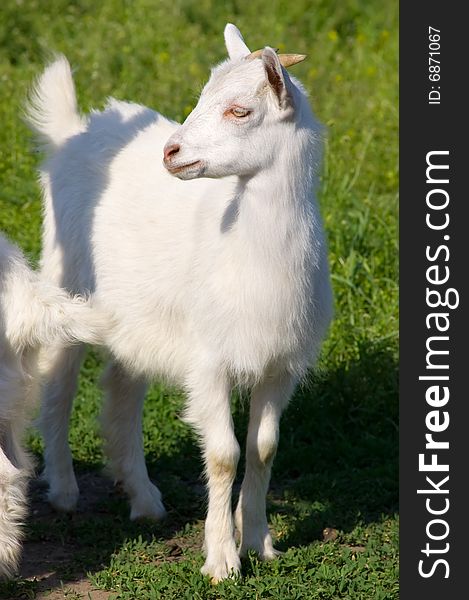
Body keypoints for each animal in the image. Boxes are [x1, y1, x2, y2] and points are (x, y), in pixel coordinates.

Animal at [26, 23, 332, 580]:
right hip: (65, 279)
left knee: (121, 386)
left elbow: (264, 449)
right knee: (58, 384)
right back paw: (63, 490)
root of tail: (73, 131)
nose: (171, 152)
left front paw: (259, 541)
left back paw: (144, 499)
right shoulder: (208, 361)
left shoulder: (281, 364)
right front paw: (222, 559)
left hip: (134, 315)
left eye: (239, 110)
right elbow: (224, 454)